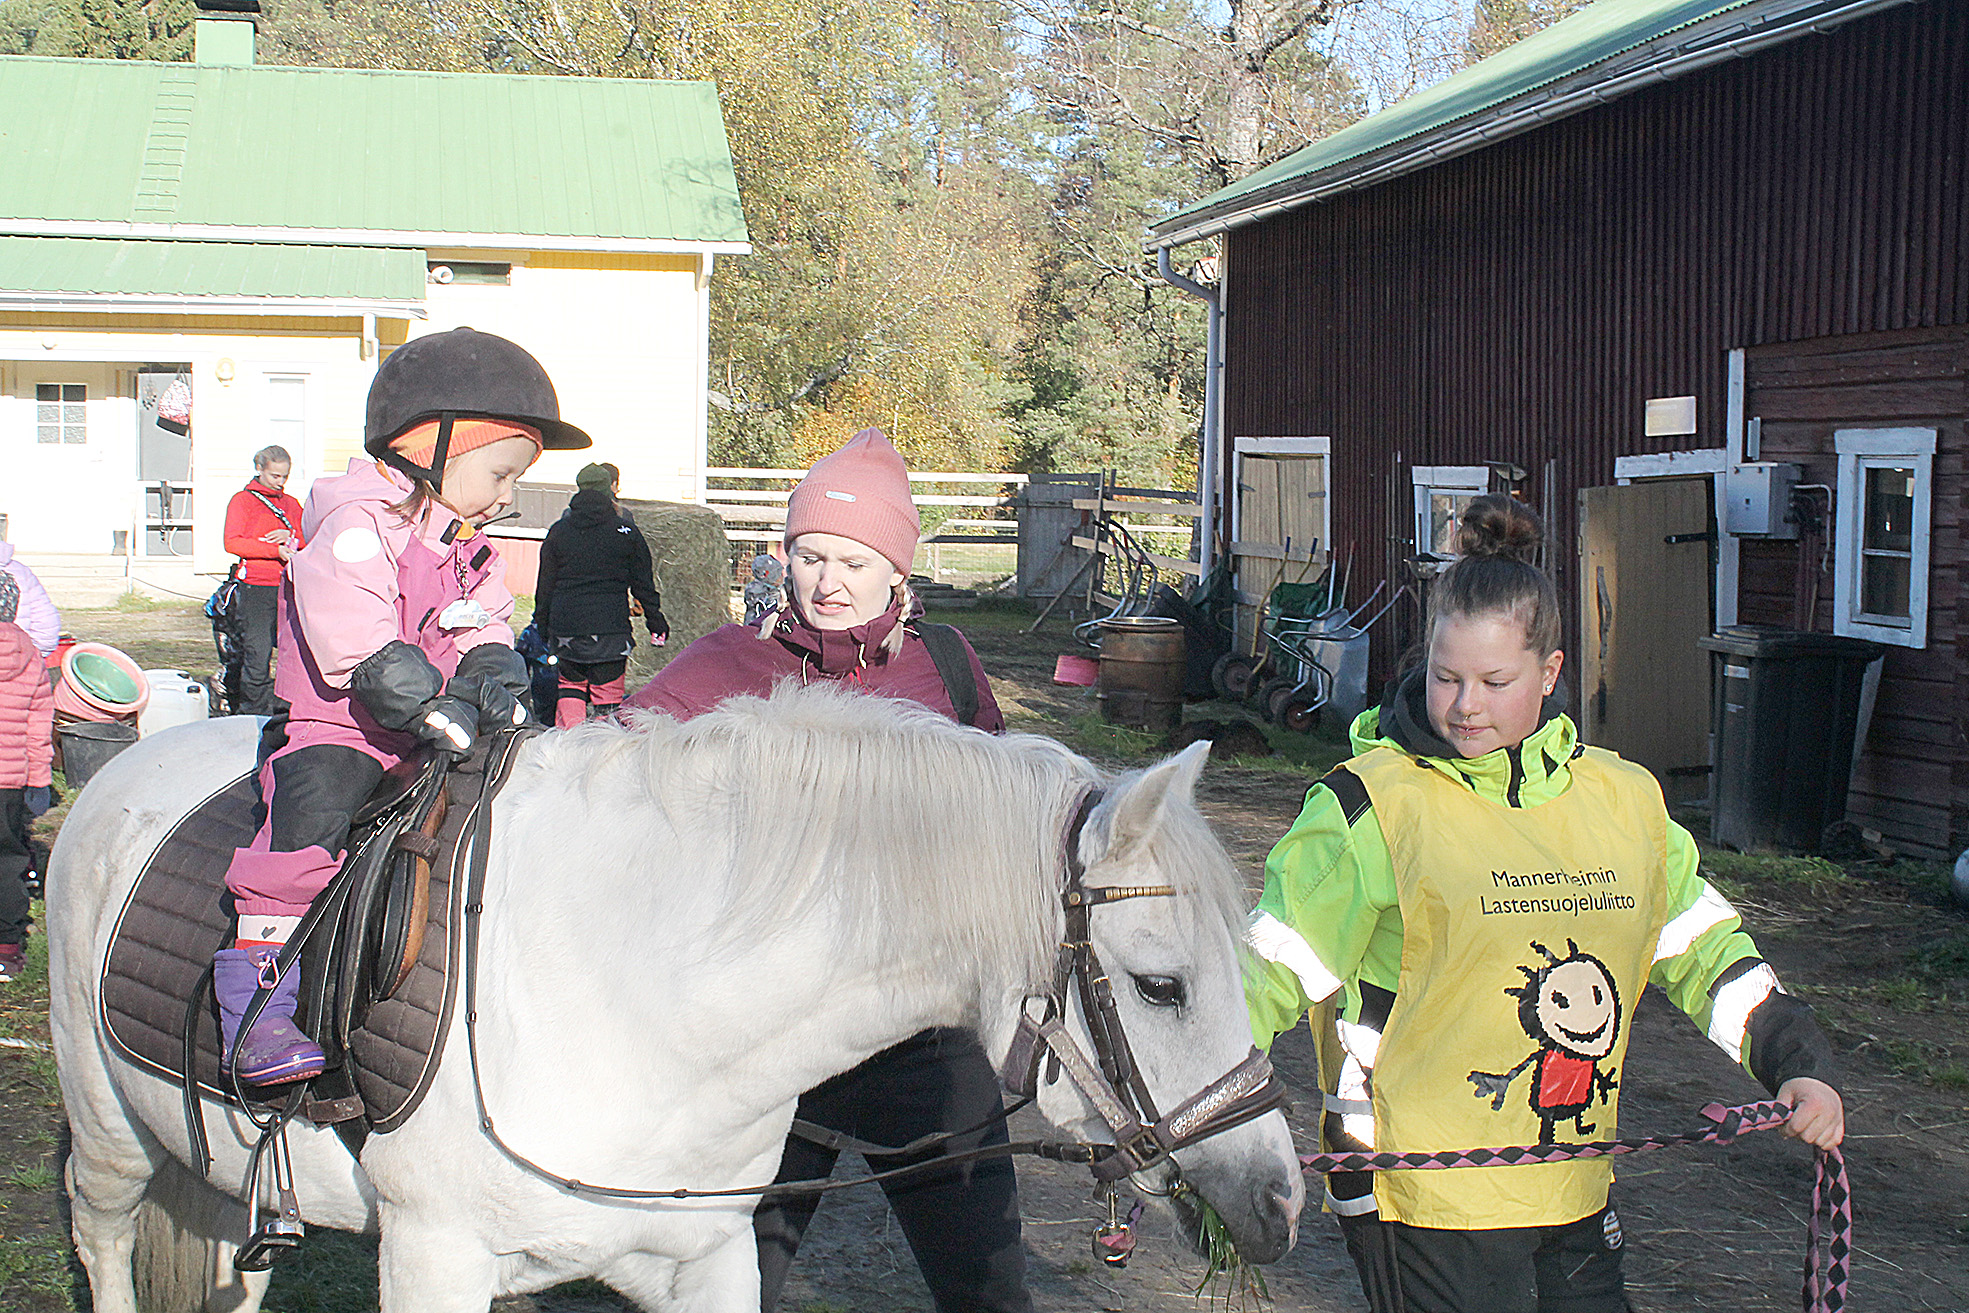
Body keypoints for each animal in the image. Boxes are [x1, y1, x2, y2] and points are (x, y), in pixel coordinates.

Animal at [46, 685, 1299, 1313]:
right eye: (1160, 984)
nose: (1283, 1199)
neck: (638, 1001)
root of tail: (128, 765)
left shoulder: (703, 1261)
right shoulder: (433, 1259)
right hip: (108, 1133)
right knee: (102, 1236)